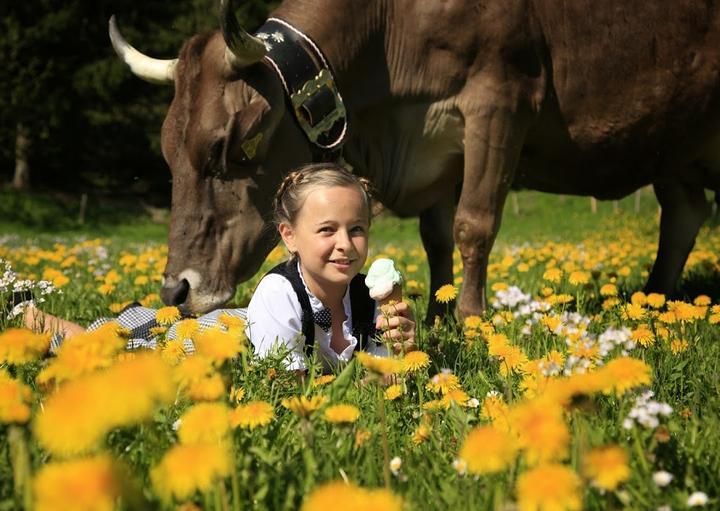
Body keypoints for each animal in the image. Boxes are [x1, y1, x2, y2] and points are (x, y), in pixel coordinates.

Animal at [109, 1, 720, 320]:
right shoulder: (438, 150)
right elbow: (437, 238)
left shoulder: (501, 98)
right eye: (167, 152)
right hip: (674, 151)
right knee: (684, 213)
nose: (176, 292)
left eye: (230, 146)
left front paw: (470, 320)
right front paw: (437, 316)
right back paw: (656, 299)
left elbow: (474, 225)